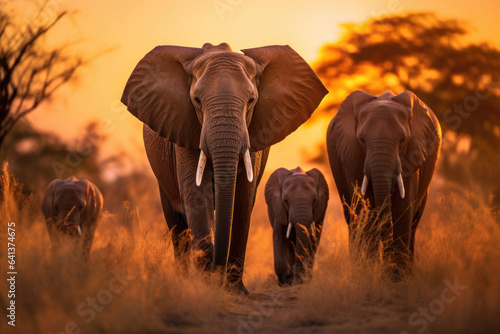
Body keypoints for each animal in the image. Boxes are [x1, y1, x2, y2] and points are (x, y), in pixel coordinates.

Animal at [121, 42, 328, 294]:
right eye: (197, 100)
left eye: (251, 100)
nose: (215, 267)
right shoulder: (183, 128)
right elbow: (197, 196)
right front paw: (208, 281)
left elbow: (242, 200)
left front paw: (236, 290)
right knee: (177, 225)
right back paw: (186, 279)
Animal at [328, 90, 442, 278]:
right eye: (362, 140)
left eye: (402, 140)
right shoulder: (351, 155)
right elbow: (363, 211)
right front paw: (366, 274)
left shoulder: (413, 153)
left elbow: (402, 209)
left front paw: (395, 280)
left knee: (414, 223)